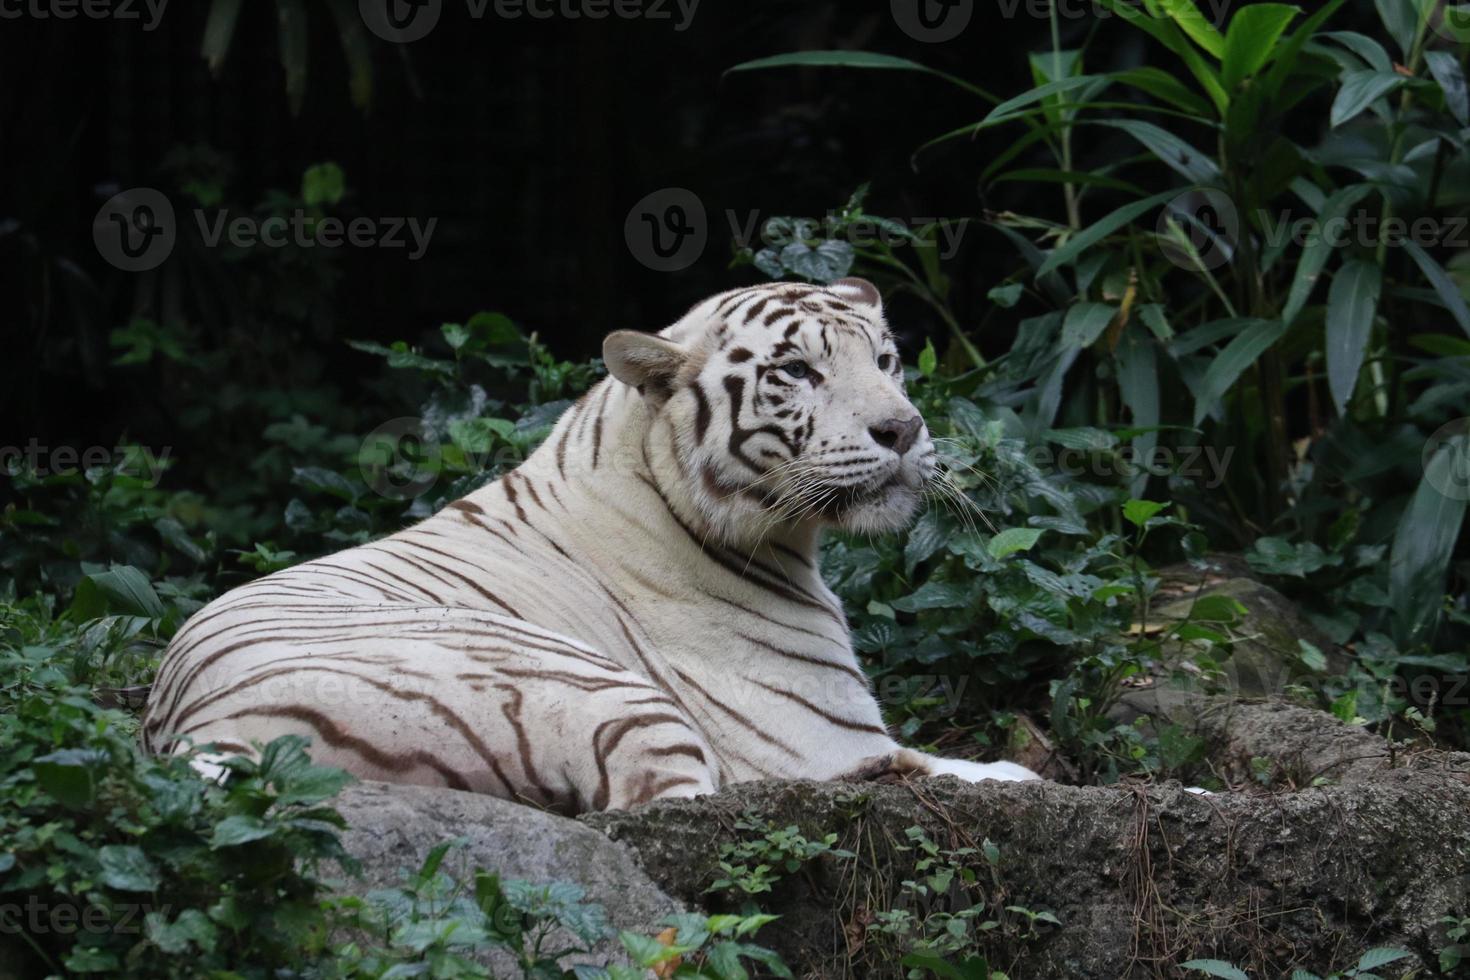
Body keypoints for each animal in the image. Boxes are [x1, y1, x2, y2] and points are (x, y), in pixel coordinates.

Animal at [135, 277, 1034, 811]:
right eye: (796, 373)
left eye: (886, 360)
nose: (903, 428)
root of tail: (195, 730)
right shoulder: (821, 737)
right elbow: (949, 765)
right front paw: (1013, 772)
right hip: (597, 689)